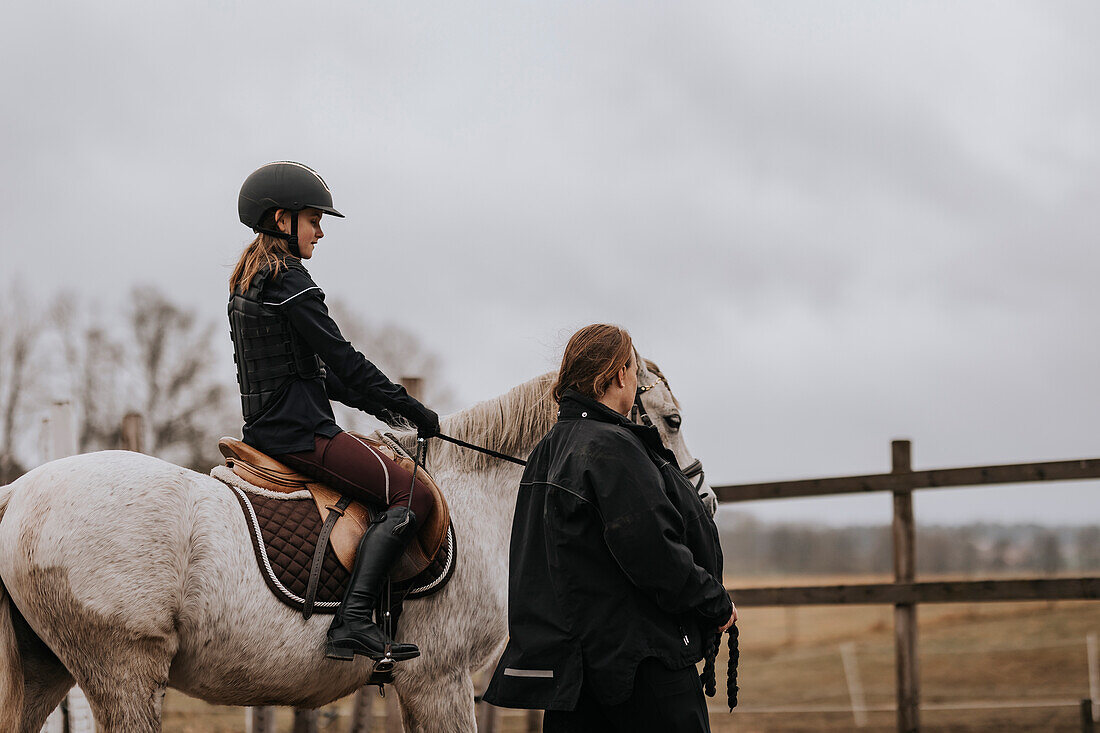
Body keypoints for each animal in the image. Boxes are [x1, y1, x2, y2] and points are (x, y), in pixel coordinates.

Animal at [0, 356, 712, 726]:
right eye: (673, 420)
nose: (700, 499)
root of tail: (18, 495)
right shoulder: (439, 679)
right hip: (124, 674)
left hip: (47, 673)